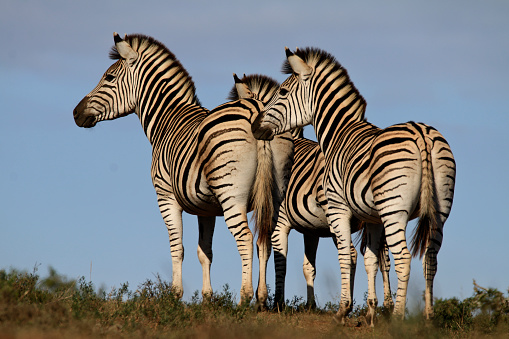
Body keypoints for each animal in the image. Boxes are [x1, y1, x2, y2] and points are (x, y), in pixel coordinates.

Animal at [72, 33, 294, 306]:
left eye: (109, 78)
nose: (76, 113)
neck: (167, 119)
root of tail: (257, 108)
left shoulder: (165, 195)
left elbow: (177, 247)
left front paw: (175, 295)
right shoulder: (207, 208)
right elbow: (204, 251)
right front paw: (207, 298)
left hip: (232, 194)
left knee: (245, 238)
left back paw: (244, 298)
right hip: (274, 195)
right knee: (265, 239)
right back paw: (262, 299)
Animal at [230, 74, 392, 324]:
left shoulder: (280, 222)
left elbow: (279, 259)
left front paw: (275, 303)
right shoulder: (311, 229)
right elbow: (308, 266)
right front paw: (309, 305)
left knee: (352, 255)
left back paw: (351, 307)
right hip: (373, 217)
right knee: (382, 258)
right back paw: (386, 307)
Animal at [252, 47, 454, 322]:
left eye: (282, 92)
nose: (254, 126)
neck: (338, 133)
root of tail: (420, 132)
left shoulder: (337, 209)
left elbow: (344, 257)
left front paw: (342, 309)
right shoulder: (372, 218)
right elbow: (370, 259)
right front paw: (370, 312)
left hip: (394, 210)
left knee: (403, 258)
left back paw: (397, 318)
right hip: (439, 210)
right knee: (430, 258)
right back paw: (428, 317)